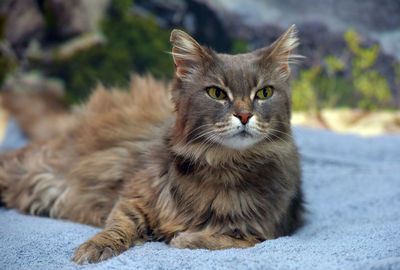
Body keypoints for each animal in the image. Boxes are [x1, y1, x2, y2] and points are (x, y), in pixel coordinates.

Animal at [0, 25, 304, 264]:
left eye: (264, 93)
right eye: (217, 93)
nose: (243, 115)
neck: (224, 164)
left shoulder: (268, 230)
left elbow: (225, 239)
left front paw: (186, 238)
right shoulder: (135, 195)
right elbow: (118, 226)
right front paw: (94, 247)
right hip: (33, 169)